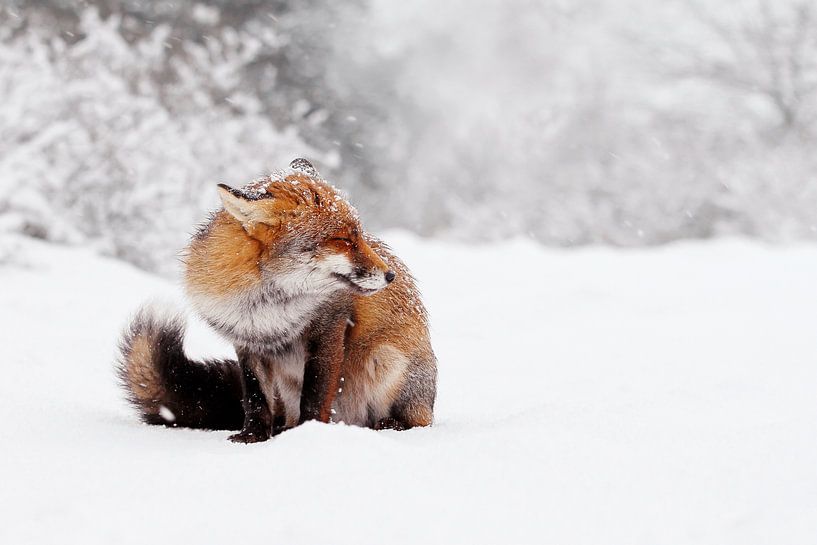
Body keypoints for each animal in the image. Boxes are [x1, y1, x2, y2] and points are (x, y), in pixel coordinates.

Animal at [117, 158, 437, 442]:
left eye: (359, 236)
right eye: (343, 240)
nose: (391, 275)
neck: (269, 306)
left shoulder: (329, 329)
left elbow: (315, 396)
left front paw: (308, 435)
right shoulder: (247, 341)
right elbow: (255, 398)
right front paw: (253, 436)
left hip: (386, 359)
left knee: (417, 422)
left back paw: (390, 424)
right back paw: (284, 428)